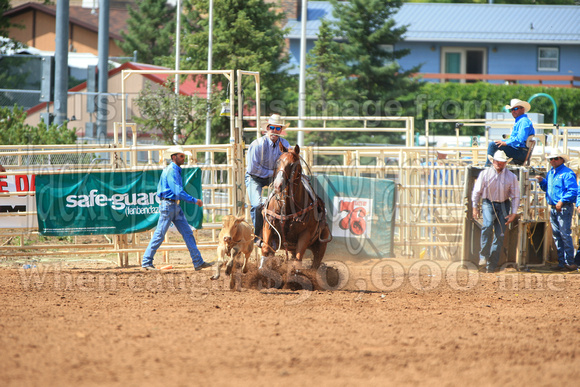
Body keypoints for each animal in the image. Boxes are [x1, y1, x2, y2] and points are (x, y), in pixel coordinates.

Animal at [262, 142, 334, 270]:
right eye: (277, 162)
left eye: (292, 164)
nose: (277, 185)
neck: (287, 207)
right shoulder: (268, 225)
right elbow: (265, 249)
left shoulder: (305, 234)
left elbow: (298, 261)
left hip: (321, 246)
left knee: (314, 265)